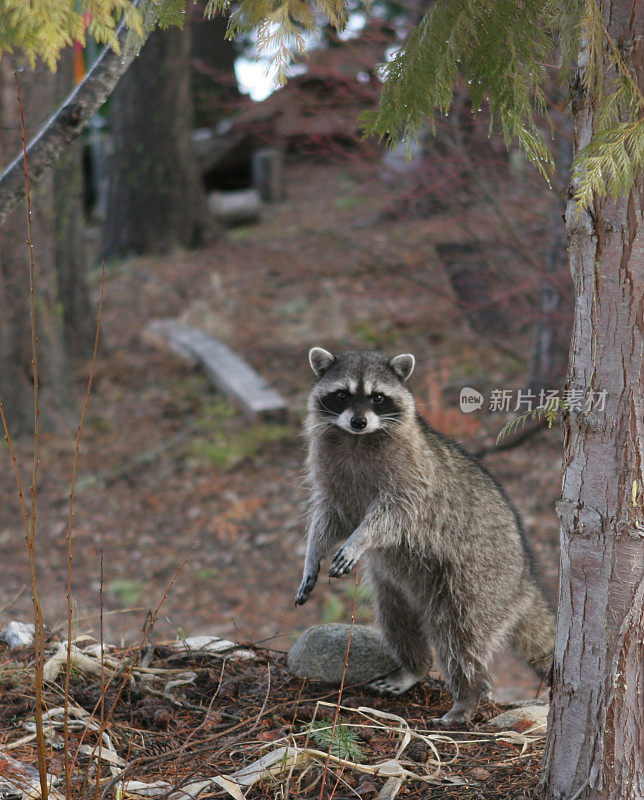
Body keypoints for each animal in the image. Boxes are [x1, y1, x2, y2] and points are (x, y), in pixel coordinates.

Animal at [294, 346, 556, 724]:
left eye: (377, 397)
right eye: (342, 394)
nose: (358, 421)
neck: (357, 439)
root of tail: (522, 583)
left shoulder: (412, 478)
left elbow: (394, 514)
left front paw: (360, 538)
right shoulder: (330, 474)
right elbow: (329, 517)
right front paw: (312, 555)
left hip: (476, 580)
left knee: (460, 635)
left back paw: (467, 697)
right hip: (395, 583)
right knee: (396, 618)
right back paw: (414, 668)